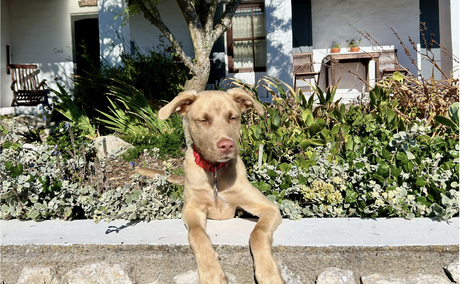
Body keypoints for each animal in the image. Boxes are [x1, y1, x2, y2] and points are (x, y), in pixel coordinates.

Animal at [158, 89, 284, 284]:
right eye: (203, 120)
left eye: (233, 117)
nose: (227, 146)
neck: (215, 171)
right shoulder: (192, 208)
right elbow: (196, 233)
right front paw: (212, 273)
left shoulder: (269, 208)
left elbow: (258, 233)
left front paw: (268, 273)